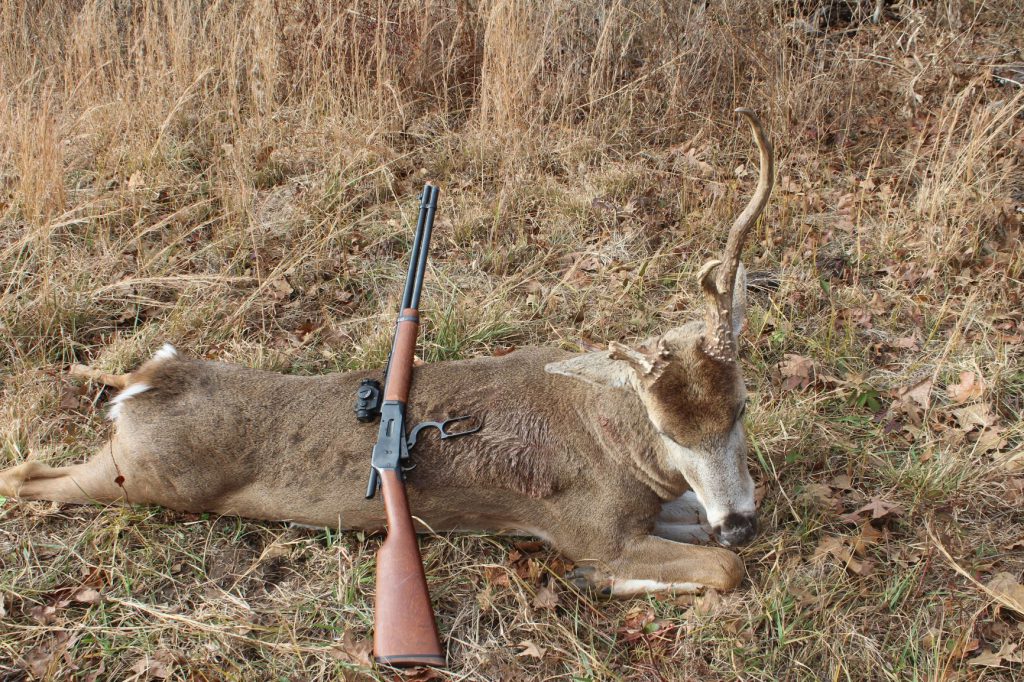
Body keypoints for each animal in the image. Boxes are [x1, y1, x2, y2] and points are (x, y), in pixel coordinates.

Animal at [0, 107, 770, 593]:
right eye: (668, 429)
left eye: (741, 407)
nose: (739, 522)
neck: (622, 451)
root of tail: (145, 379)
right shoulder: (587, 527)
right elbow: (719, 571)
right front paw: (600, 581)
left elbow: (707, 534)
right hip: (140, 476)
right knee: (25, 476)